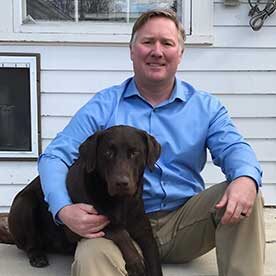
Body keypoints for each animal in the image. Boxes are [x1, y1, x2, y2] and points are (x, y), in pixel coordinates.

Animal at [7, 126, 163, 276]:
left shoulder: (145, 232)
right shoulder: (81, 224)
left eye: (135, 152)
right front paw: (135, 261)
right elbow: (119, 231)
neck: (120, 201)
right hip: (24, 205)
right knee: (30, 242)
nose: (121, 183)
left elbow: (154, 261)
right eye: (108, 152)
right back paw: (37, 256)